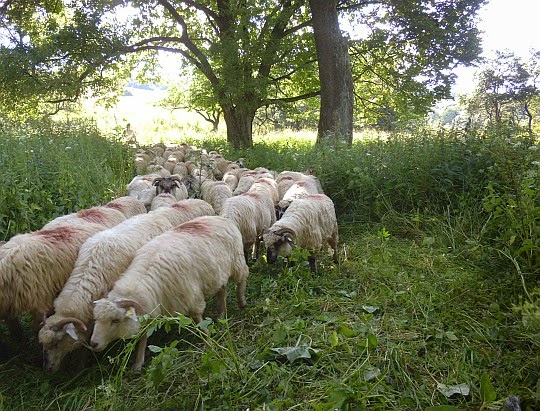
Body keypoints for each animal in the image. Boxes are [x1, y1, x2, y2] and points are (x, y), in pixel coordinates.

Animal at [89, 217, 249, 372]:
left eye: (116, 320)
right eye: (96, 319)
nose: (93, 343)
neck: (143, 281)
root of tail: (219, 218)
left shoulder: (191, 297)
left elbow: (198, 319)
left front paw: (207, 337)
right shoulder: (150, 311)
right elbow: (143, 337)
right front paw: (138, 363)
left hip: (236, 262)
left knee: (243, 277)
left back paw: (242, 301)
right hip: (218, 272)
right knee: (222, 290)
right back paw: (221, 314)